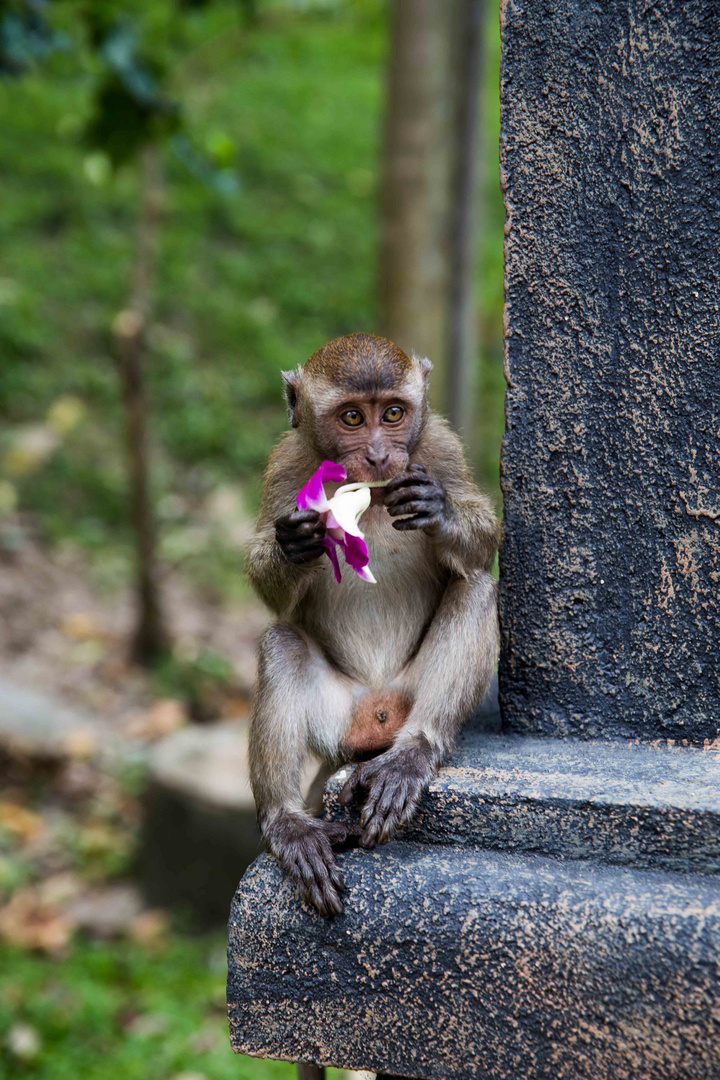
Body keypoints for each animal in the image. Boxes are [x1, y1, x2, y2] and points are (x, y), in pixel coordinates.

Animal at [245, 332, 498, 915]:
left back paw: (412, 755)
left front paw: (439, 510)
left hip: (408, 697)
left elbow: (484, 542)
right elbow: (270, 593)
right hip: (336, 720)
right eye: (353, 417)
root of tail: (378, 713)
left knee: (475, 588)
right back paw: (288, 823)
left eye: (395, 413)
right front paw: (296, 544)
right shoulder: (287, 465)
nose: (381, 455)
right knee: (282, 643)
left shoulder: (439, 447)